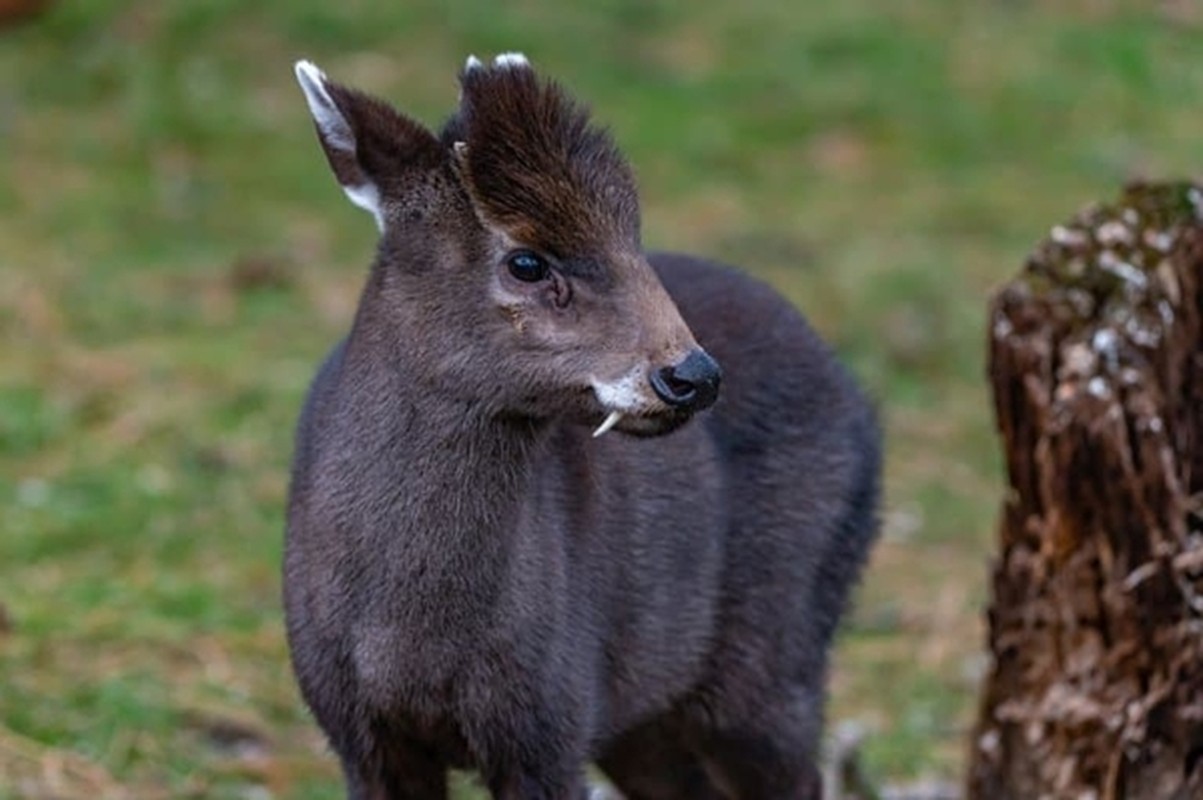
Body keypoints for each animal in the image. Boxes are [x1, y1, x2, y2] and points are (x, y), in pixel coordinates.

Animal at [285, 52, 880, 793]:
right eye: (526, 260)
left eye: (633, 240)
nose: (691, 375)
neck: (409, 635)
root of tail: (863, 406)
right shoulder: (355, 728)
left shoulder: (550, 721)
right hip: (649, 721)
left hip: (777, 653)